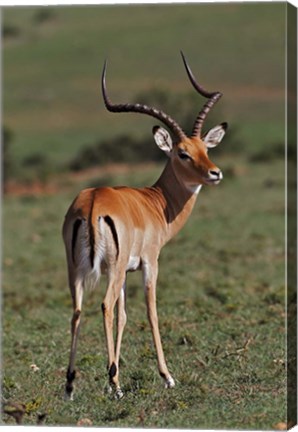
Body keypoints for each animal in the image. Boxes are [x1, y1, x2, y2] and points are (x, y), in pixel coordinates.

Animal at [62, 52, 226, 400]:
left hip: (78, 270)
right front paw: (166, 376)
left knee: (79, 310)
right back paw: (114, 386)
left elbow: (124, 317)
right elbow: (150, 312)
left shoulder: (124, 272)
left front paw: (115, 373)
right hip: (110, 269)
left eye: (206, 149)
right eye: (182, 153)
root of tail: (93, 203)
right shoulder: (150, 263)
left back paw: (70, 385)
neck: (155, 204)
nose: (215, 173)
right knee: (104, 305)